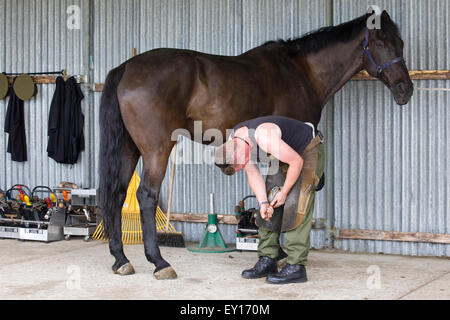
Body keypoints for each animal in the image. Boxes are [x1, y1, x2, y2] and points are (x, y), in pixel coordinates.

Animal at [99, 10, 414, 280]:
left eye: (400, 42)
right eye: (381, 42)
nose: (405, 90)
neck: (302, 72)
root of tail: (127, 67)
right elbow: (284, 192)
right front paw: (280, 254)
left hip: (129, 148)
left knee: (117, 193)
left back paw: (121, 259)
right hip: (156, 149)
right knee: (146, 196)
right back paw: (159, 262)